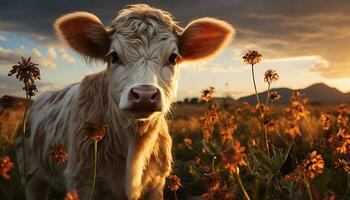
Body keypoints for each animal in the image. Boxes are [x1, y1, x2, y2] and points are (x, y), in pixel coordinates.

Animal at [17, 3, 235, 200]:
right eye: (114, 56)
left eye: (173, 57)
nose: (145, 94)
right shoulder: (83, 183)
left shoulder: (156, 183)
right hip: (31, 176)